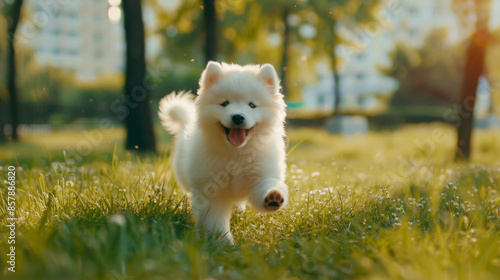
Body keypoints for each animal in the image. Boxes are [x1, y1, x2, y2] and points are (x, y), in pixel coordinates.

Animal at [158, 61, 288, 243]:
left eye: (252, 105)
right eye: (225, 103)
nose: (238, 117)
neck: (236, 153)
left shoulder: (261, 174)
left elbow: (265, 187)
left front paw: (273, 197)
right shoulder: (212, 191)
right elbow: (215, 219)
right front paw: (222, 241)